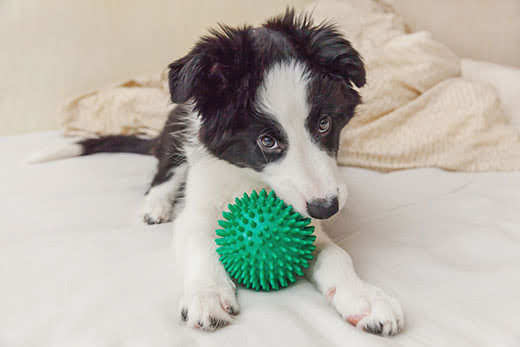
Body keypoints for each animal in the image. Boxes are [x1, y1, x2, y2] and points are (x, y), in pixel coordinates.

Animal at [37, 9, 402, 338]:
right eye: (267, 141)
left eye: (324, 123)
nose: (327, 208)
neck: (251, 178)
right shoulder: (198, 207)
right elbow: (201, 241)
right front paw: (207, 294)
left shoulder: (305, 216)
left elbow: (336, 254)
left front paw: (364, 298)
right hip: (177, 131)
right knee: (163, 174)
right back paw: (155, 206)